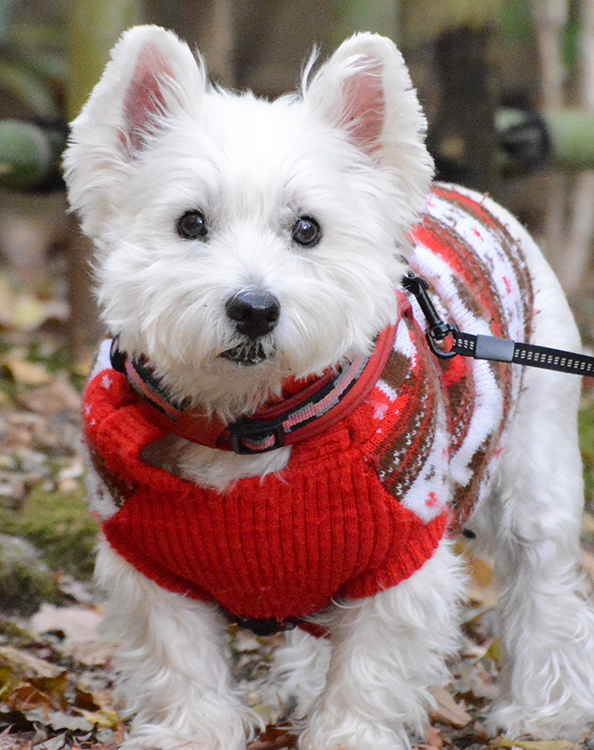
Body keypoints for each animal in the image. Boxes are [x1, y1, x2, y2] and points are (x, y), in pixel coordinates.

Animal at [63, 25, 592, 750]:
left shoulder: (400, 552)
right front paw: (192, 732)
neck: (250, 421)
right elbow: (182, 660)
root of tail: (470, 193)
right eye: (190, 223)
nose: (254, 308)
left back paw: (541, 712)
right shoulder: (147, 556)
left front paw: (348, 735)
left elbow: (369, 666)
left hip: (539, 467)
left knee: (544, 589)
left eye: (307, 229)